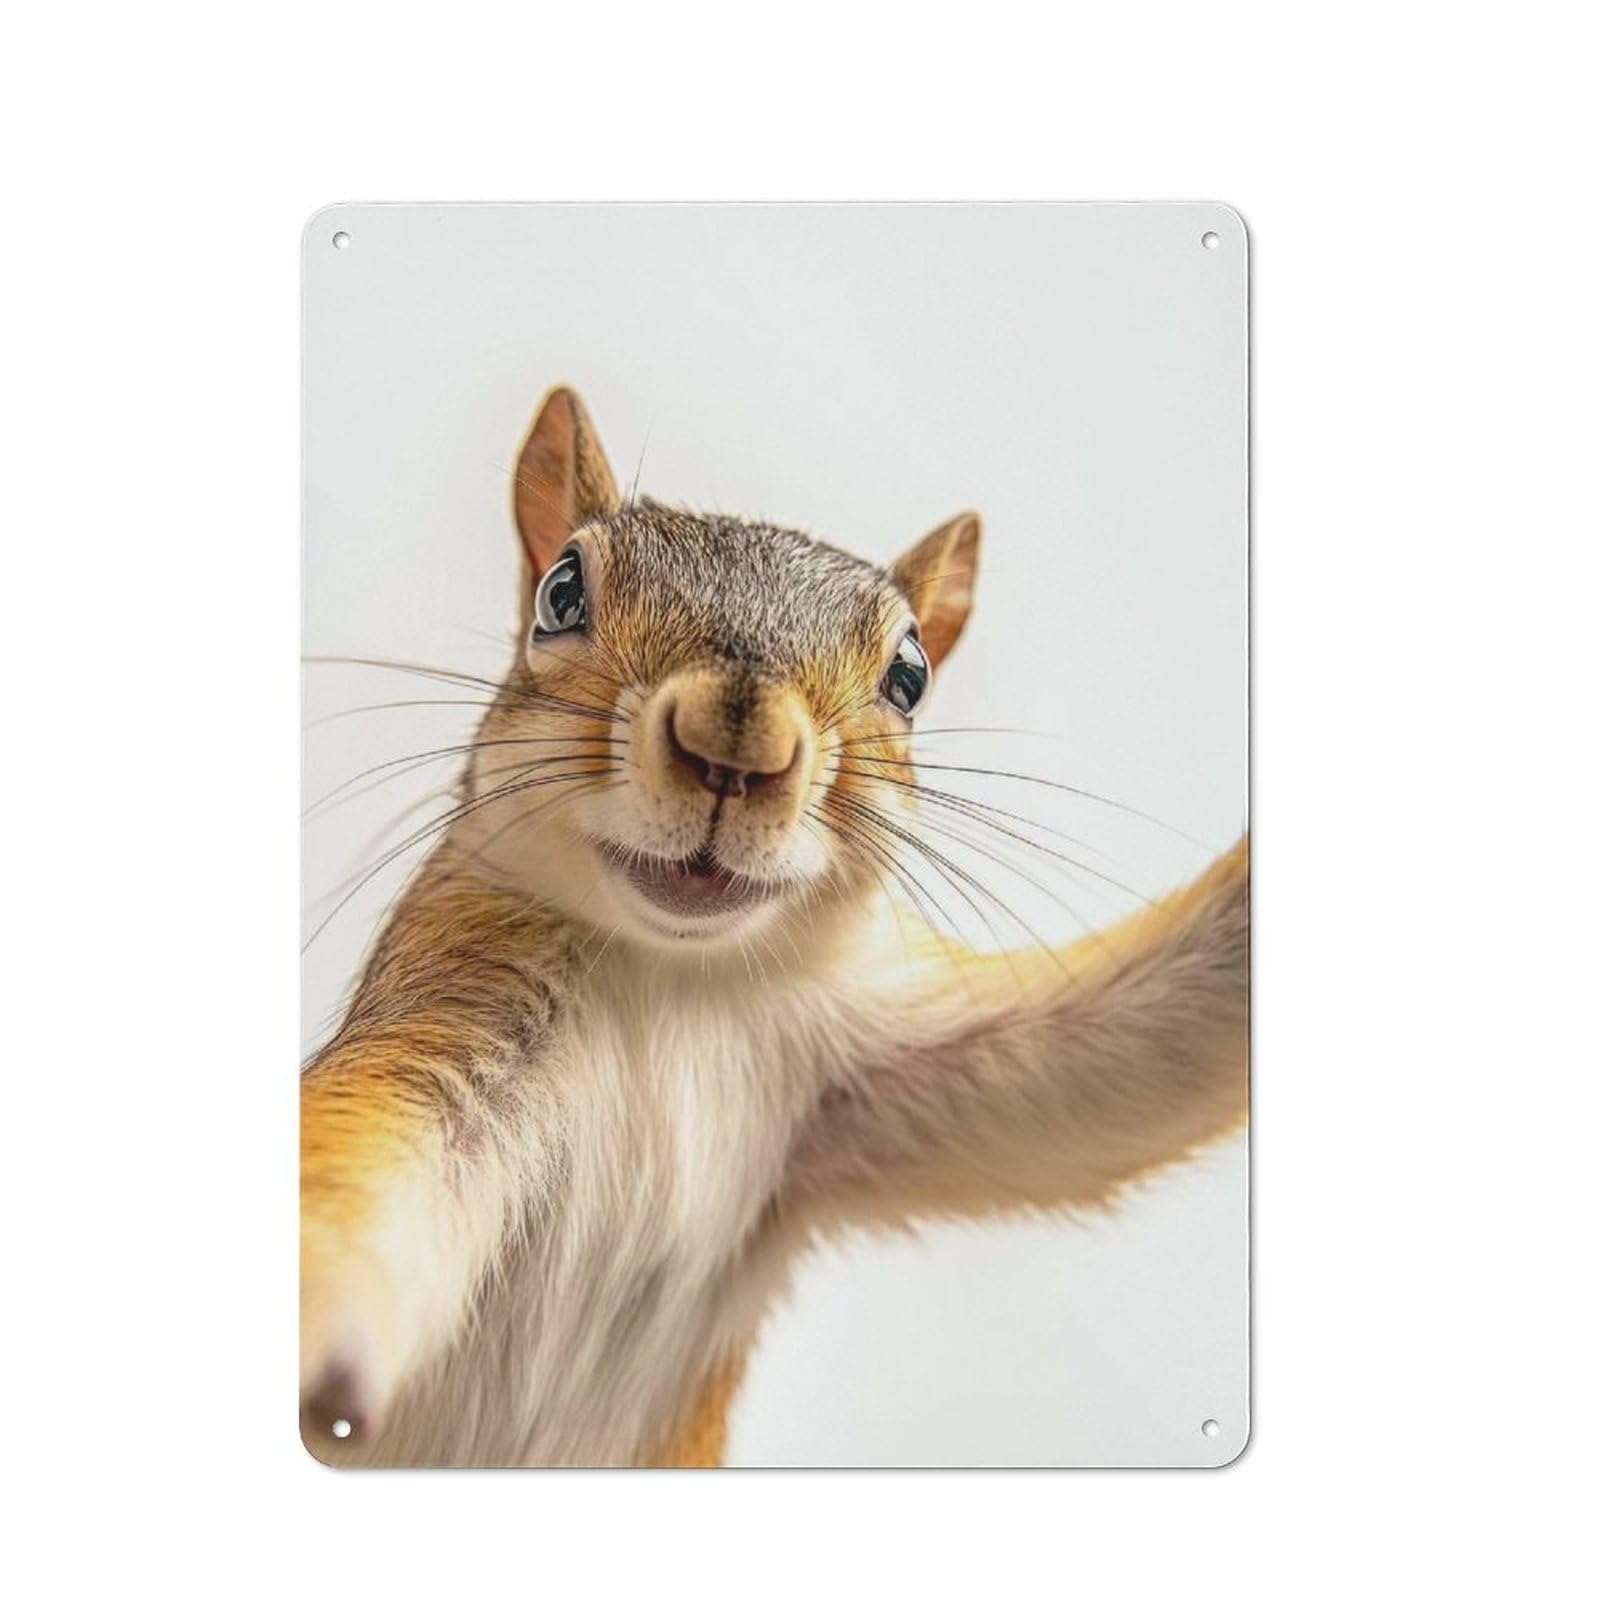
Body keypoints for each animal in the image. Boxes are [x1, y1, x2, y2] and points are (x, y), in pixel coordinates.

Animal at [301, 385, 1250, 1467]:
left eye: (911, 674)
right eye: (560, 591)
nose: (737, 749)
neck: (669, 978)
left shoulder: (863, 1074)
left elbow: (1141, 1048)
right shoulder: (452, 988)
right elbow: (358, 1162)